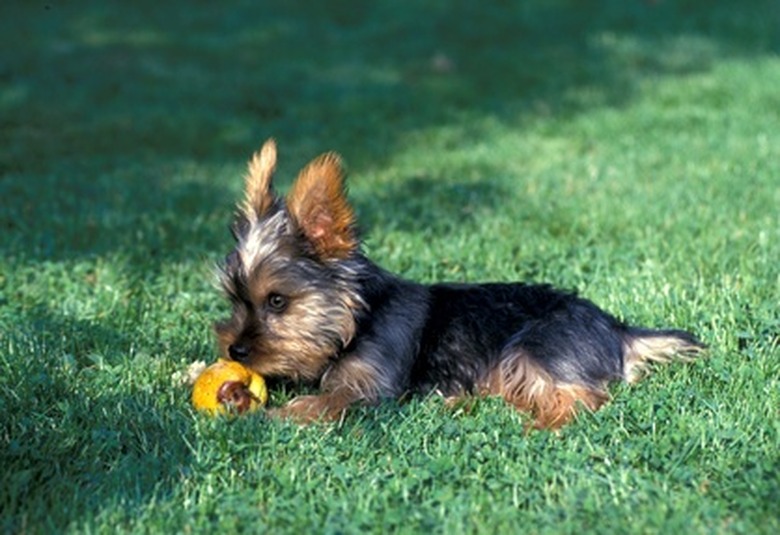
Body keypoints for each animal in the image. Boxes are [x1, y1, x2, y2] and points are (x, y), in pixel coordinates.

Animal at [213, 140, 708, 430]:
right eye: (235, 300)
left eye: (277, 301)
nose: (234, 350)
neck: (356, 321)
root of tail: (615, 327)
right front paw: (237, 395)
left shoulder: (366, 392)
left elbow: (319, 404)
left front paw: (267, 416)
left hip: (534, 349)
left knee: (584, 397)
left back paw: (540, 423)